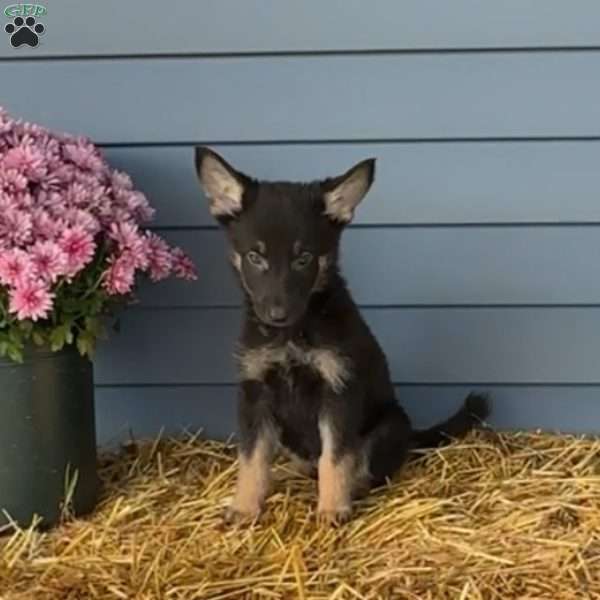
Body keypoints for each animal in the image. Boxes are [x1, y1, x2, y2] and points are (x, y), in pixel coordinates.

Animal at [195, 148, 490, 524]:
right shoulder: (254, 392)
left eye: (304, 258)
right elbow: (252, 458)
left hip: (389, 425)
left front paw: (333, 508)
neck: (292, 335)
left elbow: (334, 458)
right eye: (255, 257)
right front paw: (245, 507)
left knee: (363, 466)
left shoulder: (338, 391)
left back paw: (354, 487)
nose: (277, 314)